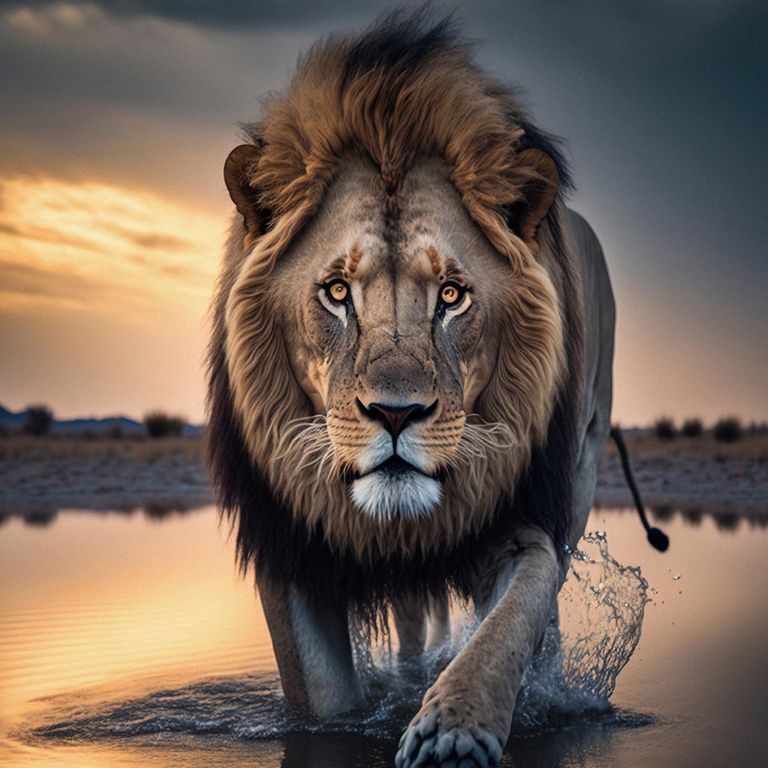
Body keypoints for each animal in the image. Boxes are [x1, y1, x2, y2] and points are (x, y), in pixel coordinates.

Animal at [207, 12, 617, 768]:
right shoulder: (292, 550)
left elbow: (507, 627)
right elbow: (323, 703)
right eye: (337, 292)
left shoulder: (521, 519)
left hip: (581, 473)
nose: (395, 415)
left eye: (452, 296)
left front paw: (455, 729)